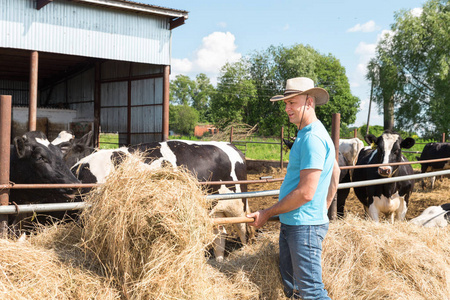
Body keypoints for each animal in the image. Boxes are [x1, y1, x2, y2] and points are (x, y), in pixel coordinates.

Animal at [70, 139, 253, 262]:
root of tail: (231, 146)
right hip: (215, 208)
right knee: (220, 234)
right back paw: (219, 261)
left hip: (238, 205)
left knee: (243, 230)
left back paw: (245, 253)